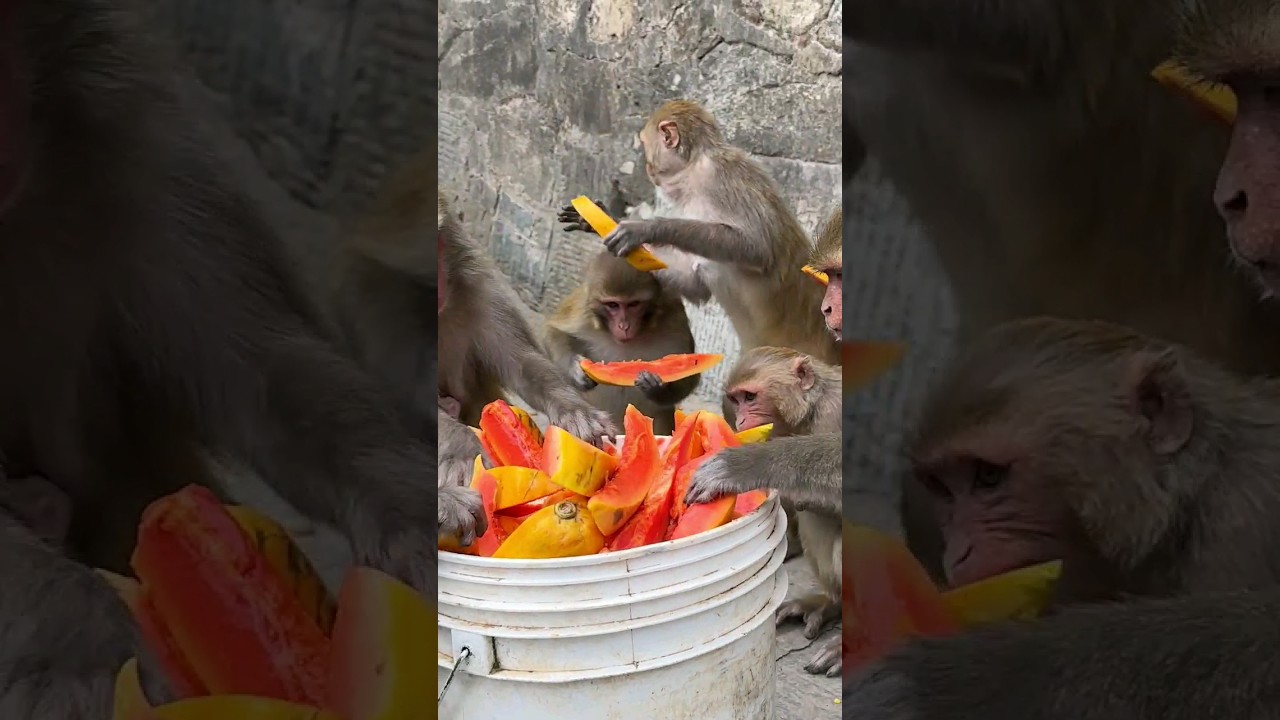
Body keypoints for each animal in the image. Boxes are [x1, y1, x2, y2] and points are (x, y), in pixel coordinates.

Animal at [543, 251, 697, 436]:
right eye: (612, 305)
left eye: (633, 304)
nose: (624, 326)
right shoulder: (583, 309)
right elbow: (554, 331)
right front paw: (575, 369)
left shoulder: (675, 319)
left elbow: (689, 372)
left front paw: (656, 389)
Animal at [560, 100, 840, 367]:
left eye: (645, 145)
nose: (647, 166)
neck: (692, 170)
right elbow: (695, 284)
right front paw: (596, 221)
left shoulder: (720, 174)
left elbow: (756, 247)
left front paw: (645, 228)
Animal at [684, 346, 843, 677]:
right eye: (736, 400)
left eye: (750, 397)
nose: (741, 420)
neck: (812, 411)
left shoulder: (836, 412)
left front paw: (742, 466)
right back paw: (830, 603)